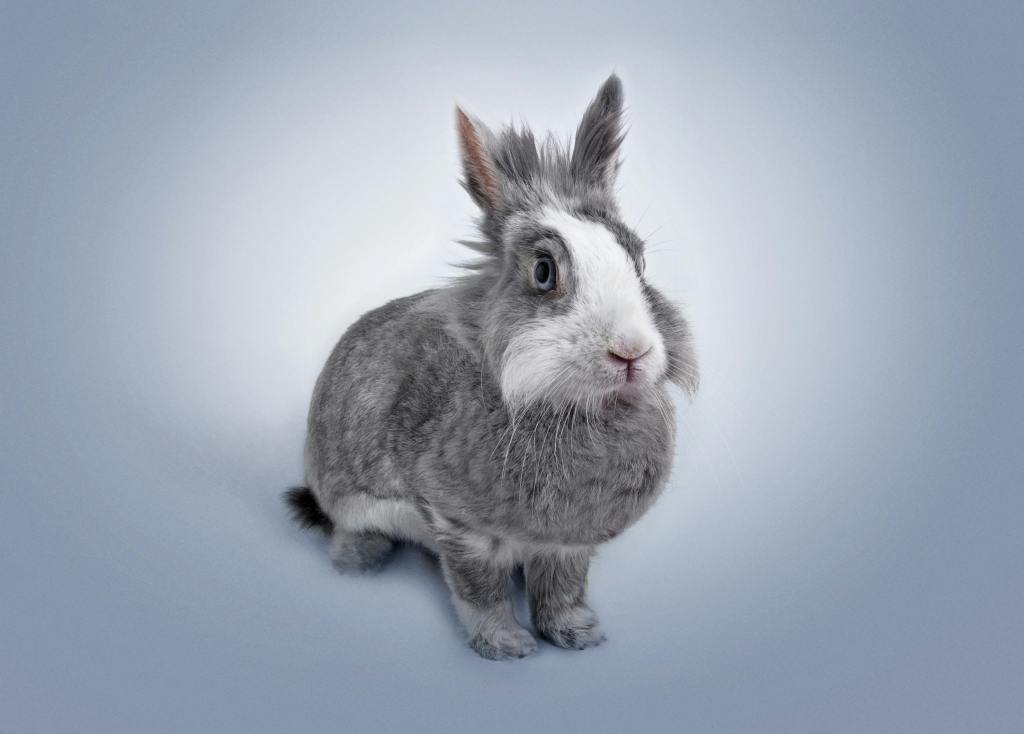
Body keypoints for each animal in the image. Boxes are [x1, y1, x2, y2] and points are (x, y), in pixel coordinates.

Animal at [285, 74, 698, 660]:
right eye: (544, 272)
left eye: (639, 262)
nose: (631, 352)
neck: (566, 406)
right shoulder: (460, 528)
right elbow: (478, 590)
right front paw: (506, 645)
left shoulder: (566, 545)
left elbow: (563, 589)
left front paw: (578, 635)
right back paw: (360, 564)